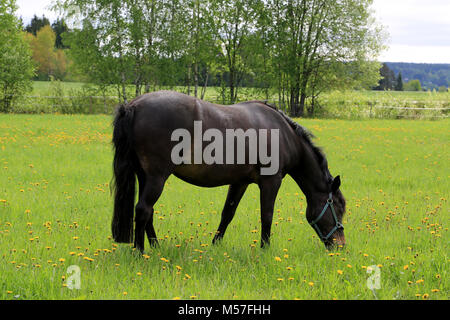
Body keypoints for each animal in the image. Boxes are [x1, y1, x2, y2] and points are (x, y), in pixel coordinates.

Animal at [110, 90, 346, 252]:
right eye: (339, 207)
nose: (341, 246)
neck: (283, 133)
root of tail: (134, 105)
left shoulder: (240, 182)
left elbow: (227, 214)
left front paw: (215, 245)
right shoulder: (271, 181)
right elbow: (267, 216)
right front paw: (265, 250)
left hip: (144, 176)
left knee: (147, 212)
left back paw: (156, 248)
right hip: (157, 177)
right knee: (143, 210)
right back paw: (139, 253)